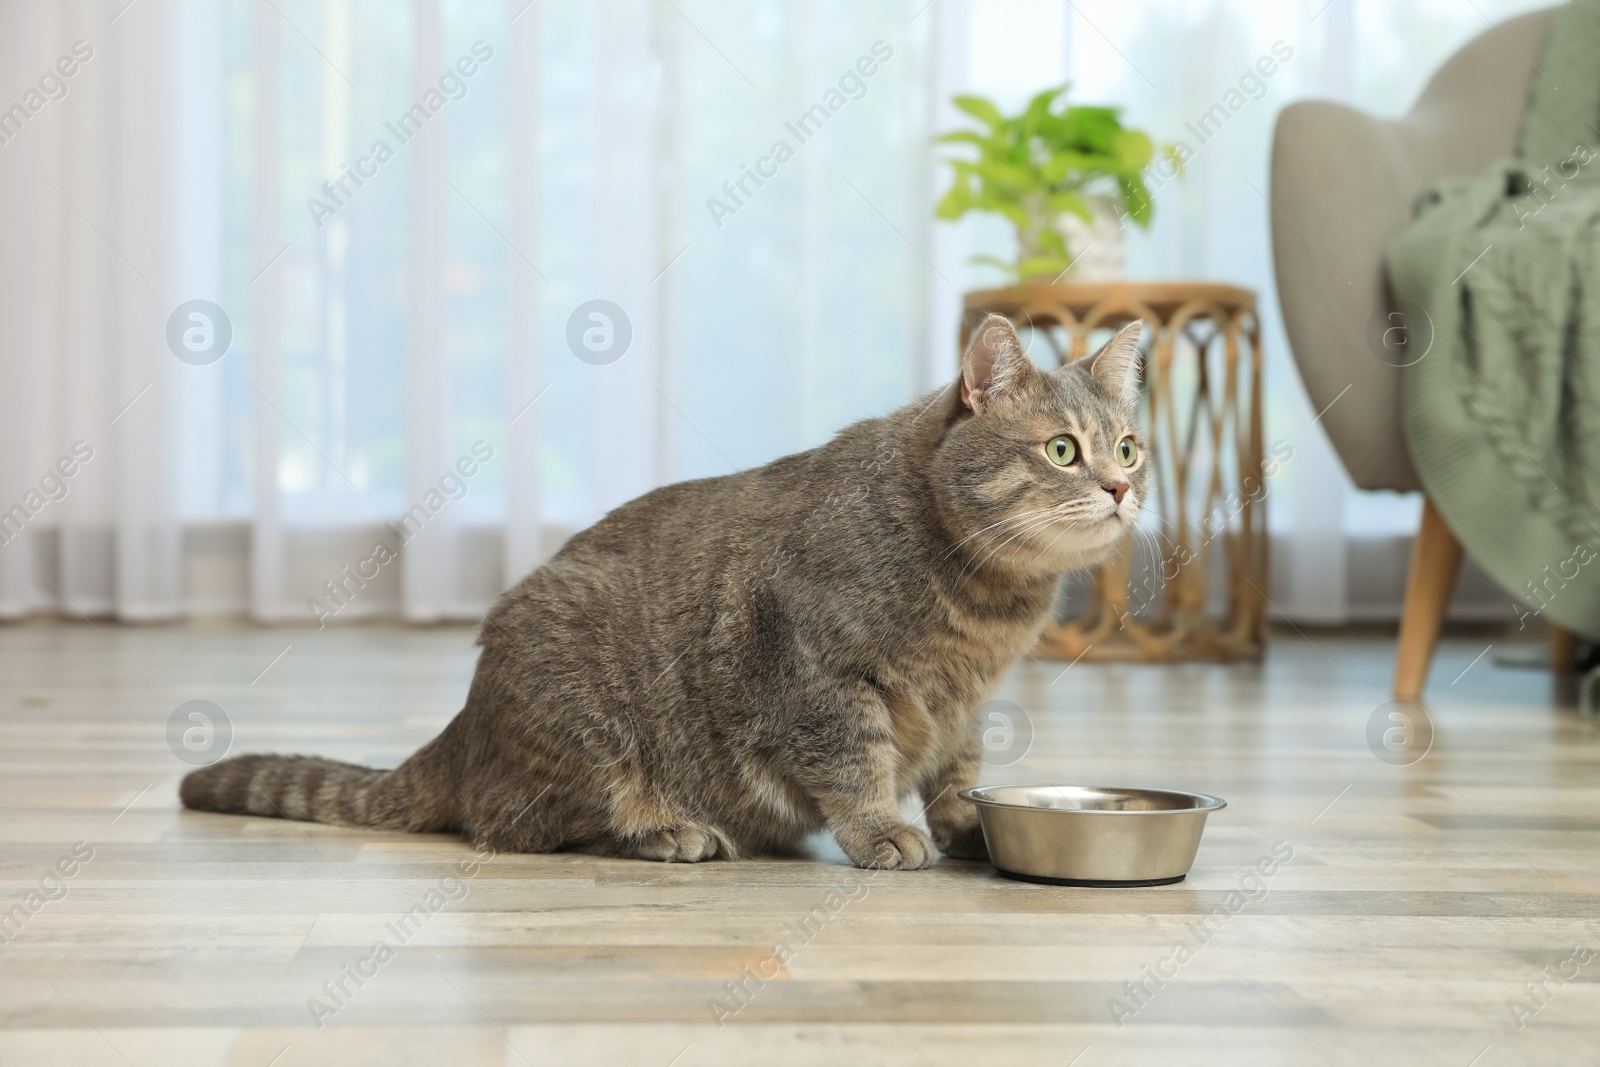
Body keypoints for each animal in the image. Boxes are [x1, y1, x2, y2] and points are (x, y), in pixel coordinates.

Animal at [181, 316, 1145, 870]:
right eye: (1062, 449)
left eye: (1129, 447)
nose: (1120, 487)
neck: (989, 606)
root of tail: (466, 726)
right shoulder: (817, 676)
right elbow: (856, 762)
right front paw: (880, 829)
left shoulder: (965, 705)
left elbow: (957, 772)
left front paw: (966, 825)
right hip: (579, 696)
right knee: (522, 824)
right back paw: (665, 828)